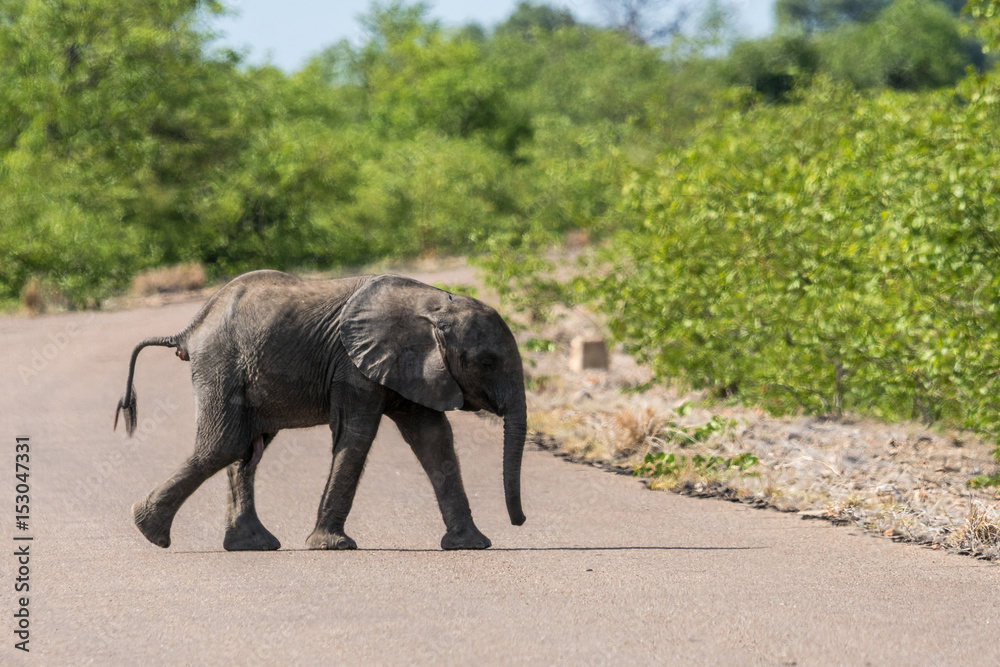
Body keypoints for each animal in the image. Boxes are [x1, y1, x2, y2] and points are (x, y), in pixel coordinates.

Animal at [113, 270, 527, 551]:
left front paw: (472, 544)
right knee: (224, 445)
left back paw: (252, 545)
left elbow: (434, 440)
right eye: (487, 362)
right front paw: (334, 546)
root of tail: (190, 329)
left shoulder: (412, 368)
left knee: (243, 452)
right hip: (222, 365)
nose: (519, 521)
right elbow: (357, 436)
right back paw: (149, 530)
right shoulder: (352, 365)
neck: (432, 304)